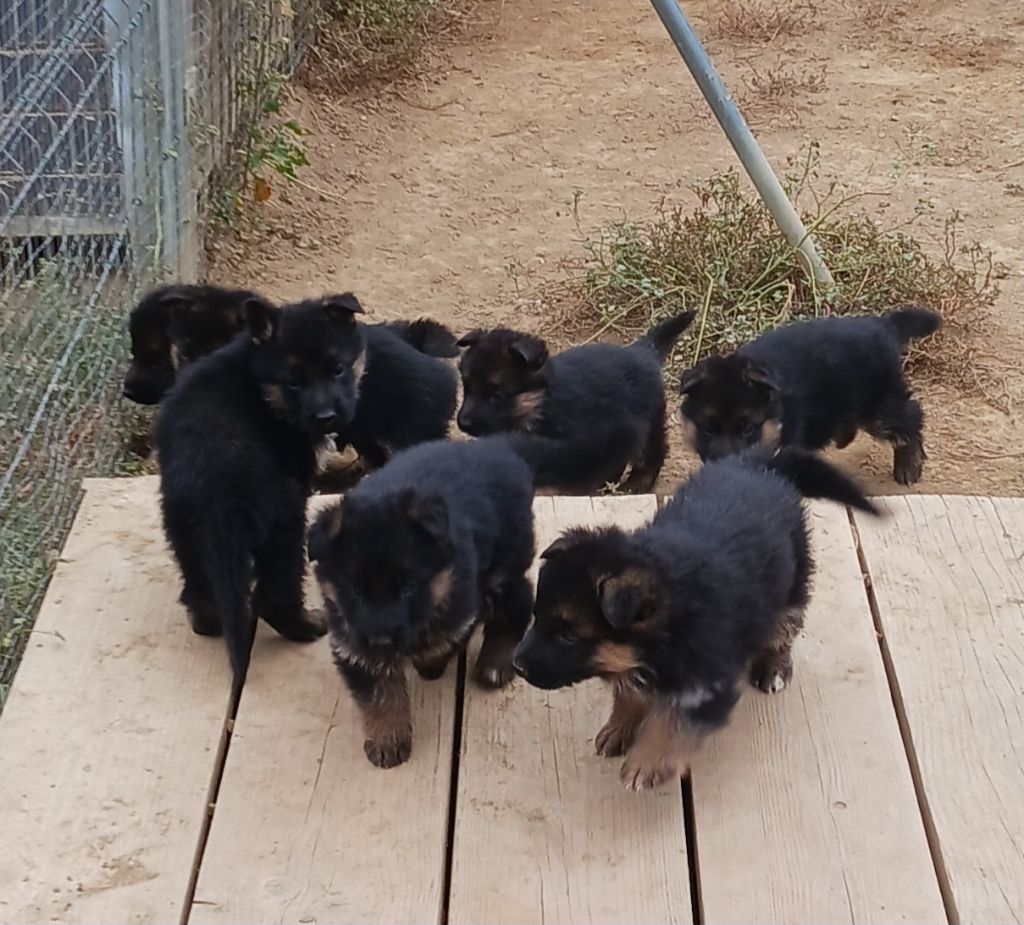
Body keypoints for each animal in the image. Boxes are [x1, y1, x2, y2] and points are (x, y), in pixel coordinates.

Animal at [307, 424, 634, 770]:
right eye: (355, 589)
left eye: (408, 588)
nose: (381, 642)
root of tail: (497, 446)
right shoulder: (352, 639)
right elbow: (379, 693)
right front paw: (387, 738)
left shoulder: (461, 602)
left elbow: (442, 640)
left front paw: (430, 665)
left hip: (504, 562)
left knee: (517, 602)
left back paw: (495, 663)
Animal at [456, 311, 696, 495]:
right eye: (466, 386)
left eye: (496, 394)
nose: (462, 423)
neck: (541, 403)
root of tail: (642, 351)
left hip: (648, 420)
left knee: (651, 454)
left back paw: (634, 485)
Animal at [512, 444, 880, 790]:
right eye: (537, 617)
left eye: (568, 636)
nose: (517, 665)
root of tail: (758, 462)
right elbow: (629, 691)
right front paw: (620, 727)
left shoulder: (707, 681)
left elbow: (674, 724)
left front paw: (646, 763)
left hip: (792, 580)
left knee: (784, 626)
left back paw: (774, 668)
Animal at [675, 309, 937, 485]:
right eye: (708, 429)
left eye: (748, 428)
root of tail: (882, 325)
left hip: (878, 404)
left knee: (910, 418)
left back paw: (909, 467)